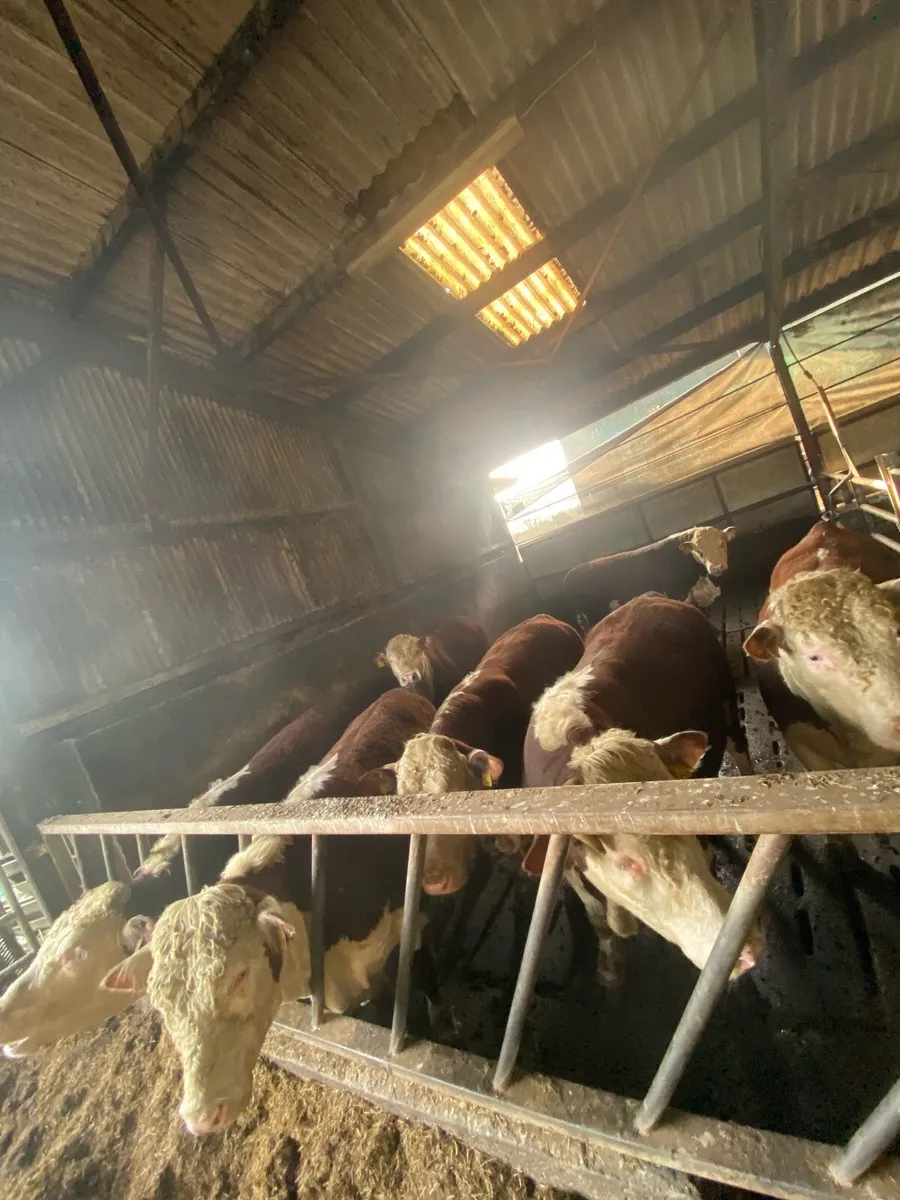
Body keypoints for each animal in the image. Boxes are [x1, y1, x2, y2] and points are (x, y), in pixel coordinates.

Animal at [521, 594, 761, 976]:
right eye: (626, 862)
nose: (748, 950)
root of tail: (652, 597)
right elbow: (597, 916)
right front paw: (609, 963)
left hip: (727, 704)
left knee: (740, 749)